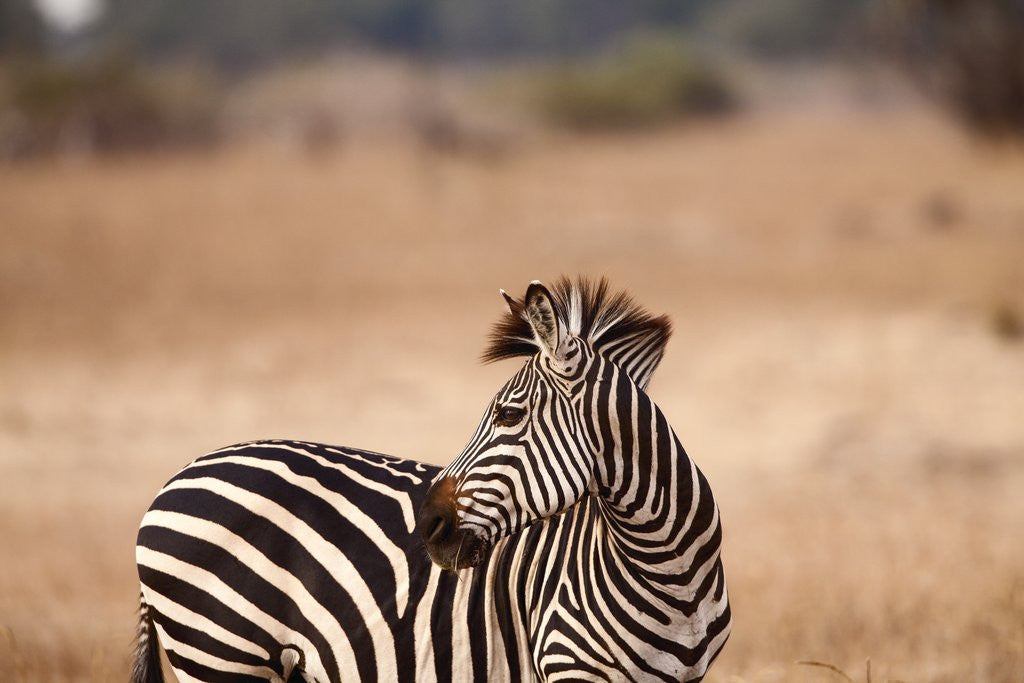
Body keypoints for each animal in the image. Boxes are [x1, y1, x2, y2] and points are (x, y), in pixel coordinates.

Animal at [133, 276, 730, 682]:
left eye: (508, 416)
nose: (428, 524)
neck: (671, 573)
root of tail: (174, 479)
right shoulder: (567, 665)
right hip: (218, 652)